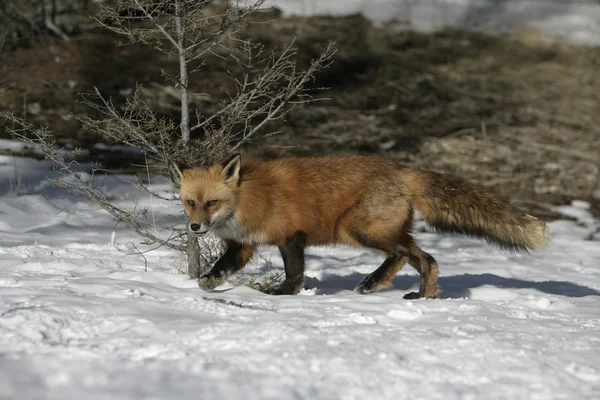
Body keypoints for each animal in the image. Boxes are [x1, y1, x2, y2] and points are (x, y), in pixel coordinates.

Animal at [175, 155, 548, 298]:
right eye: (190, 202)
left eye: (212, 203)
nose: (195, 227)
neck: (248, 199)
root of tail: (402, 169)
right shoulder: (244, 245)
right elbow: (222, 267)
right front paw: (207, 283)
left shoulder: (290, 236)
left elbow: (295, 272)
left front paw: (284, 294)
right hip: (391, 232)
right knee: (428, 260)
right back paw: (424, 298)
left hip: (356, 229)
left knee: (399, 255)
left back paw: (372, 283)